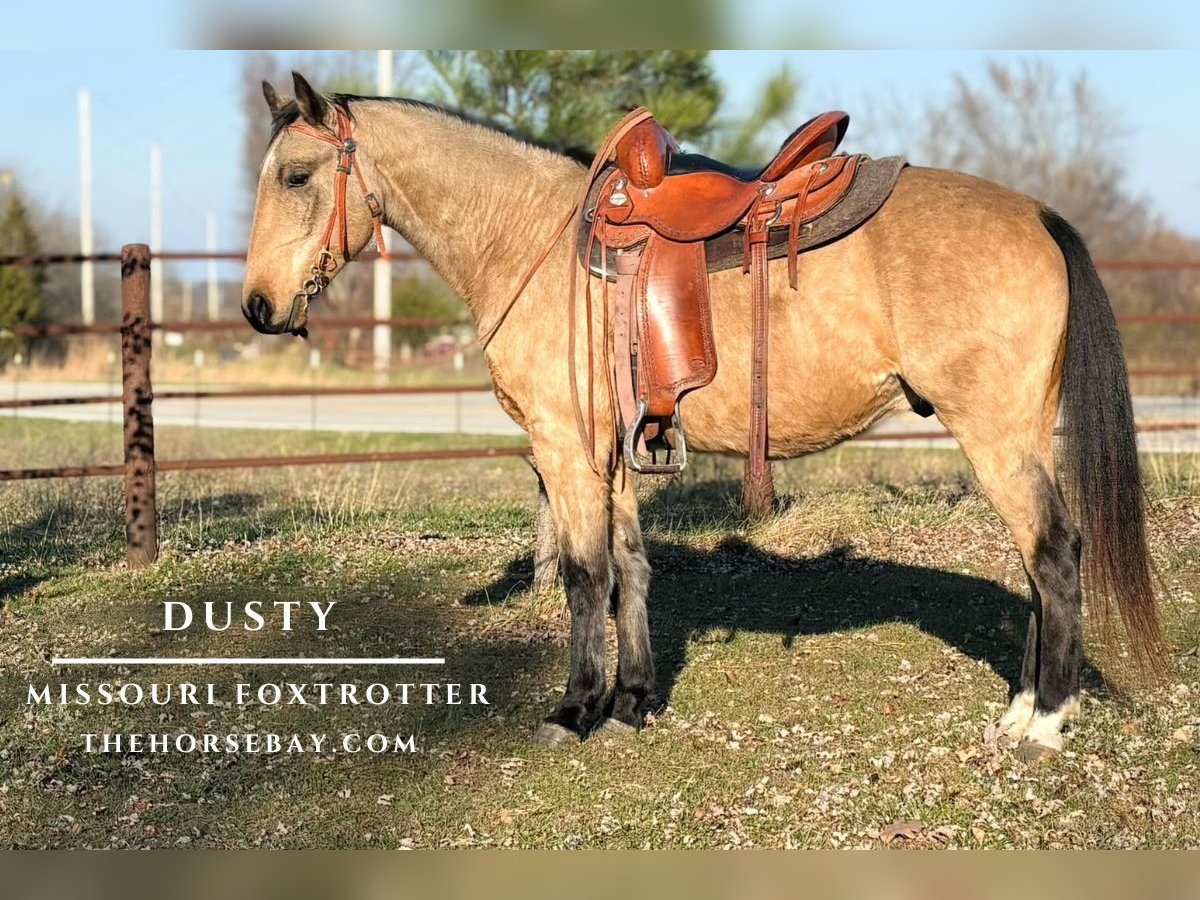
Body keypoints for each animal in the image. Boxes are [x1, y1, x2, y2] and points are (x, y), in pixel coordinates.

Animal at [241, 72, 1161, 763]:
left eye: (297, 177)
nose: (257, 306)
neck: (530, 236)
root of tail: (1037, 215)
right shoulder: (612, 455)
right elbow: (632, 570)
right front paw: (633, 702)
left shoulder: (566, 452)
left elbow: (586, 579)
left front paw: (575, 709)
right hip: (1018, 434)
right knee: (1039, 562)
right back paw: (1023, 708)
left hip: (994, 436)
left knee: (1055, 554)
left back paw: (1045, 722)